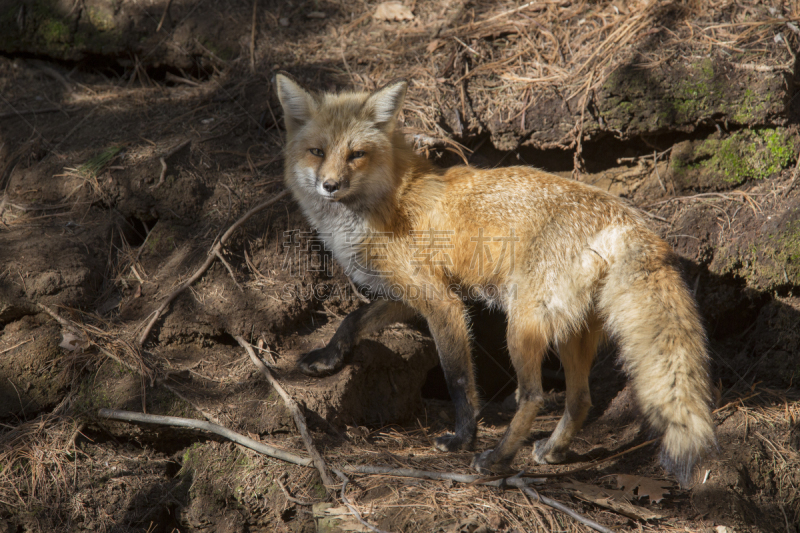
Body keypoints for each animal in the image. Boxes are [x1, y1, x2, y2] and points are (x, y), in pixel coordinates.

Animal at [276, 71, 720, 486]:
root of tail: (625, 218)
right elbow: (353, 320)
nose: (329, 185)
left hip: (522, 326)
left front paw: (463, 438)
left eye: (356, 154)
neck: (389, 199)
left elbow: (457, 378)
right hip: (571, 331)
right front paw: (328, 358)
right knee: (580, 399)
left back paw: (497, 458)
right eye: (317, 151)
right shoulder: (407, 294)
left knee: (534, 396)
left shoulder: (442, 301)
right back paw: (553, 450)